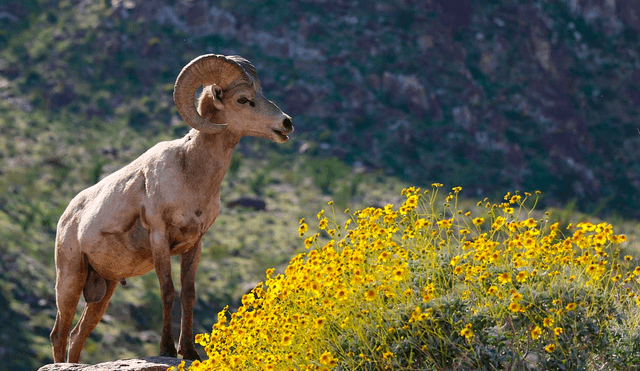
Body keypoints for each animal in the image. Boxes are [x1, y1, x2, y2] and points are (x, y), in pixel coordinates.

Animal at [50, 54, 296, 364]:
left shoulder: (194, 244)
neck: (190, 173)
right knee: (59, 334)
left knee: (77, 335)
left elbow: (187, 294)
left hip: (104, 288)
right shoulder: (160, 238)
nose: (286, 123)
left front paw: (189, 351)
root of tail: (67, 216)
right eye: (243, 99)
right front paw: (166, 349)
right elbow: (167, 291)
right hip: (70, 279)